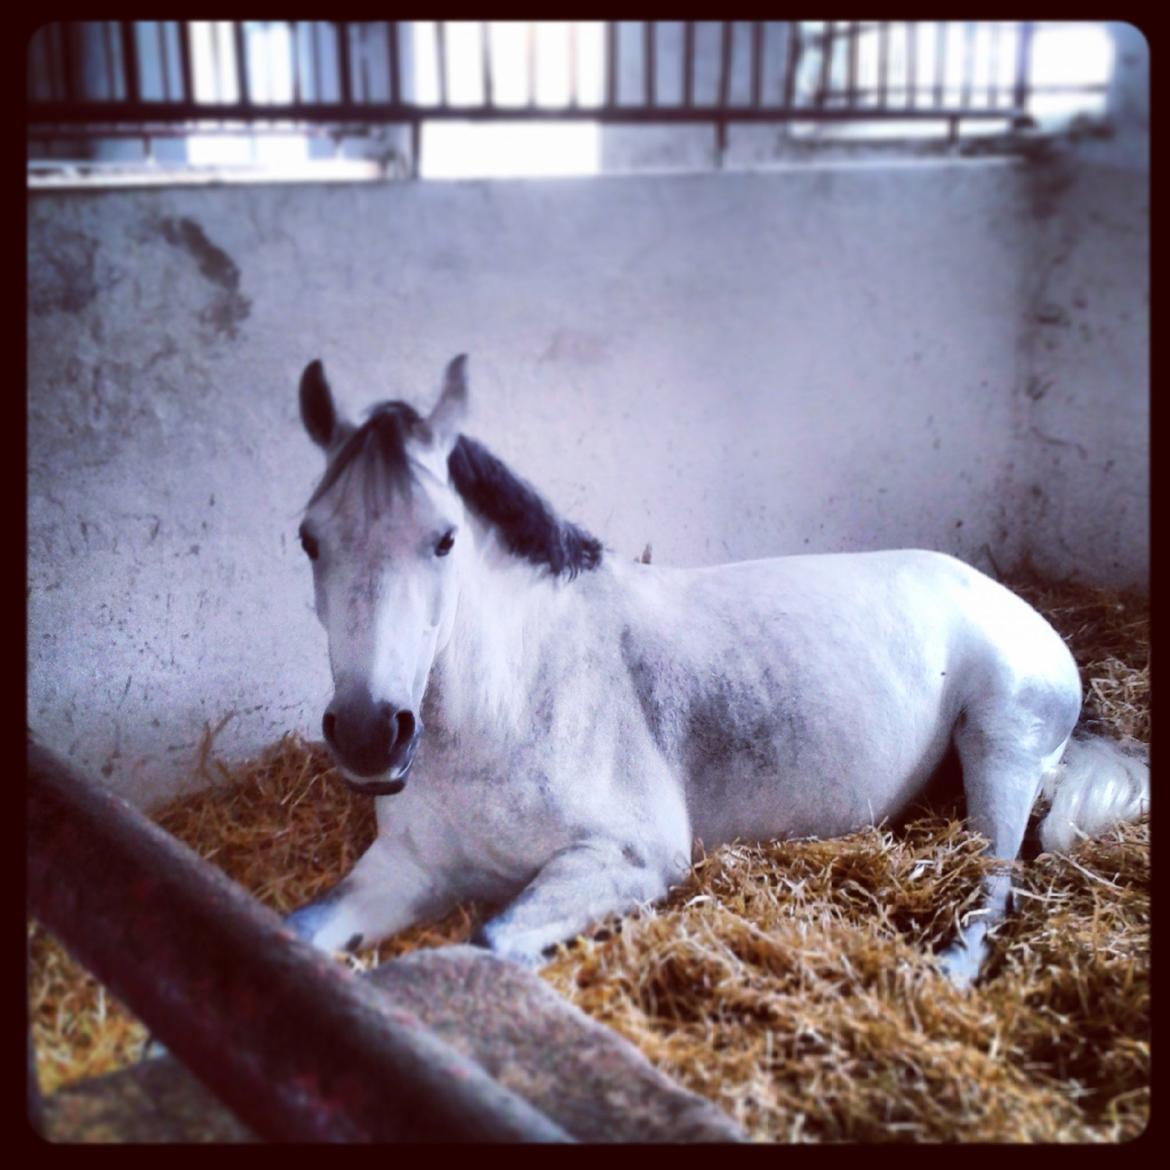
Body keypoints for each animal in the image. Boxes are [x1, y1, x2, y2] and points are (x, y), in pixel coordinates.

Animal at [285, 355, 1149, 987]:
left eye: (444, 539)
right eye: (308, 538)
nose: (368, 734)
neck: (514, 702)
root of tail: (1013, 603)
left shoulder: (630, 859)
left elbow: (493, 942)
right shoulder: (405, 869)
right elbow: (303, 936)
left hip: (1002, 750)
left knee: (993, 887)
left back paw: (946, 972)